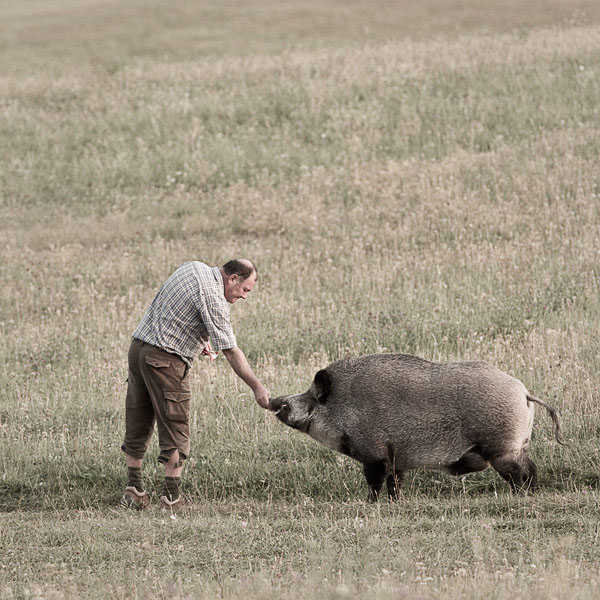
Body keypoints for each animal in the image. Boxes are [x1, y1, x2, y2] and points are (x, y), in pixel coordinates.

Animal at [270, 354, 564, 500]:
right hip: (517, 447)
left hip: (502, 449)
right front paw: (394, 502)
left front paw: (371, 503)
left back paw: (520, 496)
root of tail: (525, 393)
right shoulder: (395, 458)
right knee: (531, 469)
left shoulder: (375, 454)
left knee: (522, 473)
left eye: (311, 396)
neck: (345, 406)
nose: (275, 400)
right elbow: (395, 483)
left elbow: (375, 482)